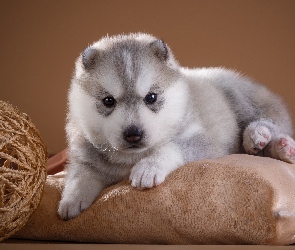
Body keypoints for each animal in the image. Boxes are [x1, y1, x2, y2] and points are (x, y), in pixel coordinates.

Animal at [58, 32, 295, 219]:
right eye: (108, 101)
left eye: (151, 97)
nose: (133, 134)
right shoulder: (85, 153)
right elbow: (81, 173)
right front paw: (71, 198)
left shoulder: (200, 139)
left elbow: (170, 147)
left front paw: (149, 166)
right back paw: (282, 148)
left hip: (238, 95)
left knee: (272, 120)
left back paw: (260, 135)